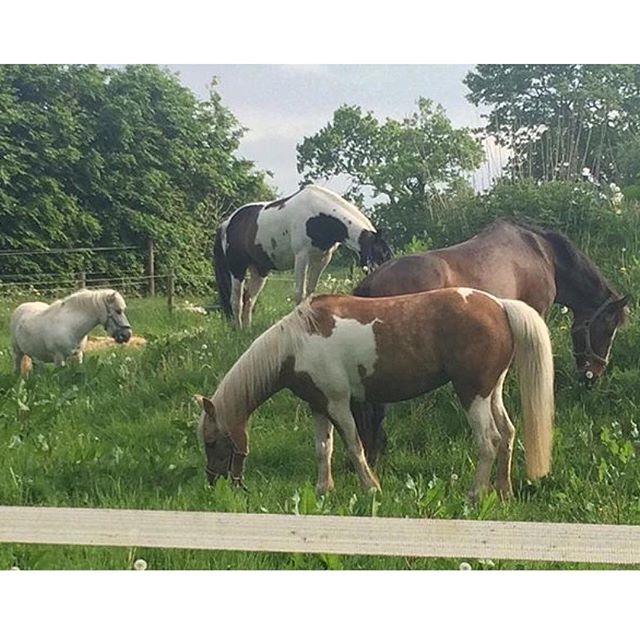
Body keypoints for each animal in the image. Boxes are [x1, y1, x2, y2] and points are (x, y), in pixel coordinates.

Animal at [194, 288, 554, 501]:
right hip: (491, 392)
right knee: (507, 434)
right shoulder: (318, 407)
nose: (213, 483)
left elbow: (355, 447)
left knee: (489, 441)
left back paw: (475, 495)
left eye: (212, 442)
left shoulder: (339, 404)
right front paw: (323, 490)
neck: (296, 343)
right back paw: (503, 491)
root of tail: (499, 305)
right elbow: (323, 449)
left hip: (472, 395)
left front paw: (371, 488)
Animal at [212, 185, 392, 328]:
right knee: (236, 300)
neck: (318, 215)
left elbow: (310, 293)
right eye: (381, 254)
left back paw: (248, 330)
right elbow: (300, 293)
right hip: (237, 268)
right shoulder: (302, 256)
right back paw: (239, 329)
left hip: (260, 271)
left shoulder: (322, 259)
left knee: (249, 299)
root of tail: (227, 223)